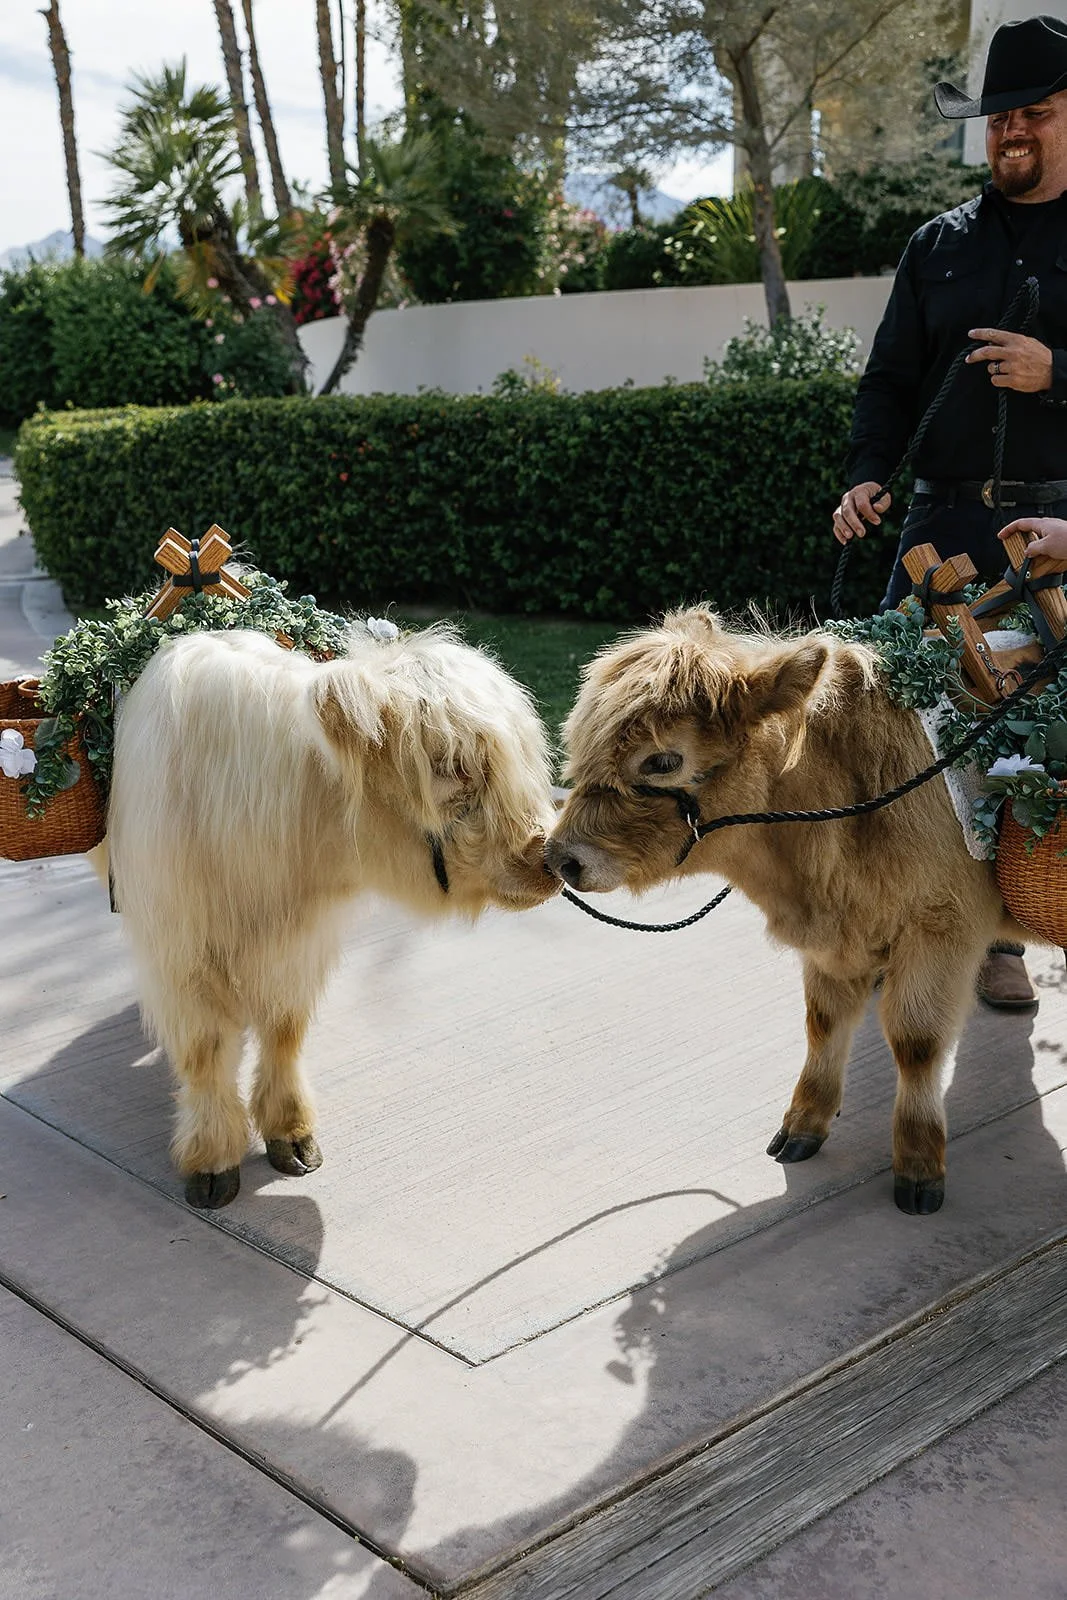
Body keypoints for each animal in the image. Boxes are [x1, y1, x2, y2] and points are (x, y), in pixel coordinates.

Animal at [108, 625, 558, 1209]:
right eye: (450, 765)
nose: (550, 855)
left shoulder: (300, 946)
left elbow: (284, 1030)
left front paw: (291, 1133)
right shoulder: (180, 951)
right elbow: (205, 1051)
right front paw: (211, 1160)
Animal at [545, 604, 1031, 1215]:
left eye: (662, 760)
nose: (559, 859)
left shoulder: (941, 930)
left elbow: (916, 1043)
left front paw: (920, 1165)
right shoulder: (834, 941)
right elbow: (822, 1023)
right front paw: (804, 1124)